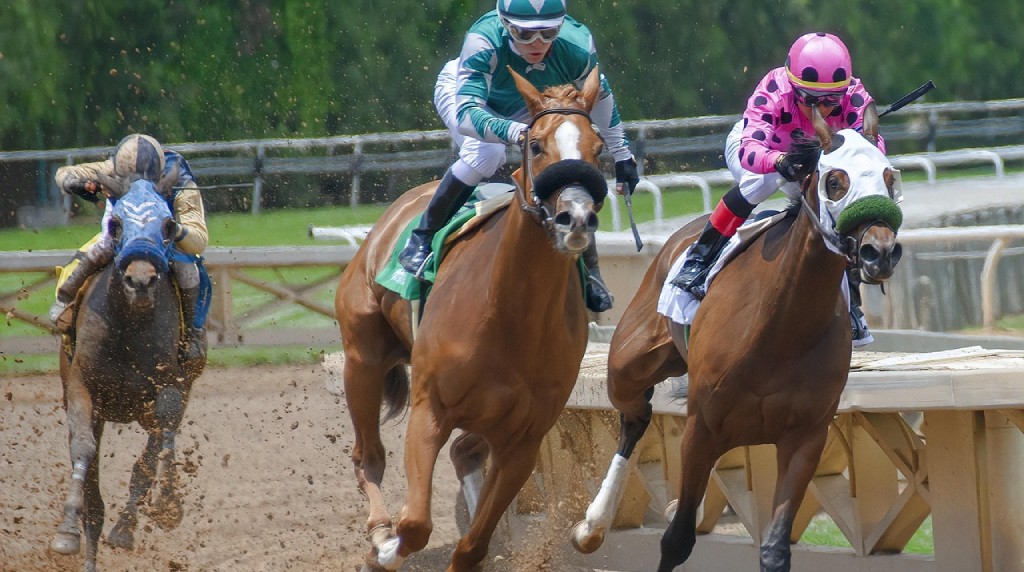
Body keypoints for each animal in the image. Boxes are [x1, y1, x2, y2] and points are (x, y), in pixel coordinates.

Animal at [50, 179, 206, 572]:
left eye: (167, 225)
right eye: (116, 224)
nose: (140, 280)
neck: (128, 330)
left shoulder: (168, 390)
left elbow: (154, 453)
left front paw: (159, 509)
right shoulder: (82, 387)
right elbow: (84, 450)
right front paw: (67, 531)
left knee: (155, 451)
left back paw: (136, 519)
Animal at [334, 66, 609, 572]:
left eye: (598, 149)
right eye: (535, 145)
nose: (575, 218)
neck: (511, 316)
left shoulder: (525, 438)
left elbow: (473, 544)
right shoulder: (430, 409)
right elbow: (415, 525)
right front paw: (391, 545)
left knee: (463, 452)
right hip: (362, 360)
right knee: (369, 456)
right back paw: (379, 536)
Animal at [571, 106, 904, 571]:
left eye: (890, 178)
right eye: (835, 181)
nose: (881, 252)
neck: (781, 327)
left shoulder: (804, 438)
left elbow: (775, 547)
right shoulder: (703, 429)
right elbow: (676, 539)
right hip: (627, 365)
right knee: (634, 419)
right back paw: (592, 525)